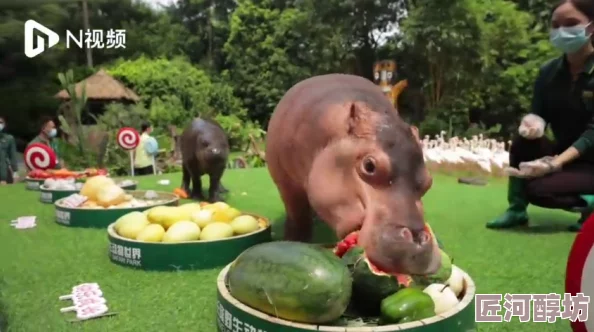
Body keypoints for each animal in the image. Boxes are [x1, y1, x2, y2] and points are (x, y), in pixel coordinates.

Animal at [264, 74, 440, 274]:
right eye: (369, 166)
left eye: (428, 182)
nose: (417, 241)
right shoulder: (287, 186)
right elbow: (298, 218)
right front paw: (293, 240)